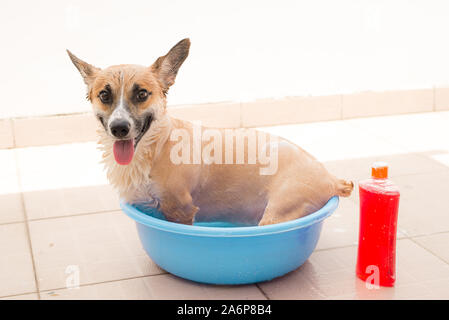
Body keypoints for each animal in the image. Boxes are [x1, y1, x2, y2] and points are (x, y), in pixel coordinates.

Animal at [67, 38, 354, 226]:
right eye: (104, 95)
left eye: (141, 94)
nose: (119, 128)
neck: (154, 147)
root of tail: (330, 177)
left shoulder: (180, 210)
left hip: (279, 213)